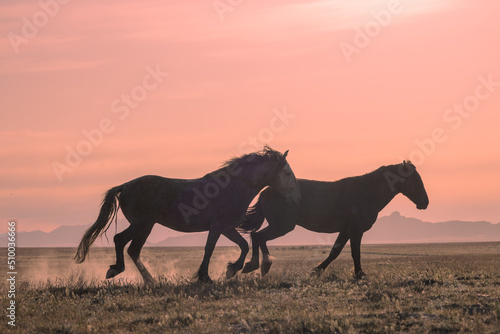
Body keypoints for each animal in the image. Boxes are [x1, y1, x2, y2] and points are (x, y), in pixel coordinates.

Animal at [74, 146, 300, 282]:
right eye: (287, 173)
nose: (296, 199)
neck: (234, 187)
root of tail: (124, 186)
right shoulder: (217, 227)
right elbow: (209, 249)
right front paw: (205, 277)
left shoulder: (227, 228)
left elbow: (243, 245)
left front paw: (232, 269)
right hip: (142, 223)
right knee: (120, 240)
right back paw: (115, 270)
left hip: (146, 226)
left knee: (133, 250)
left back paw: (151, 281)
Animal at [240, 160, 428, 278]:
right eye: (415, 179)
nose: (425, 202)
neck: (366, 193)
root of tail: (265, 191)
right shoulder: (356, 230)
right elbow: (355, 253)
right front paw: (359, 274)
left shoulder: (345, 230)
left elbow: (334, 252)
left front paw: (316, 270)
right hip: (282, 226)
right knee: (259, 237)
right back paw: (259, 266)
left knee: (257, 237)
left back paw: (256, 267)